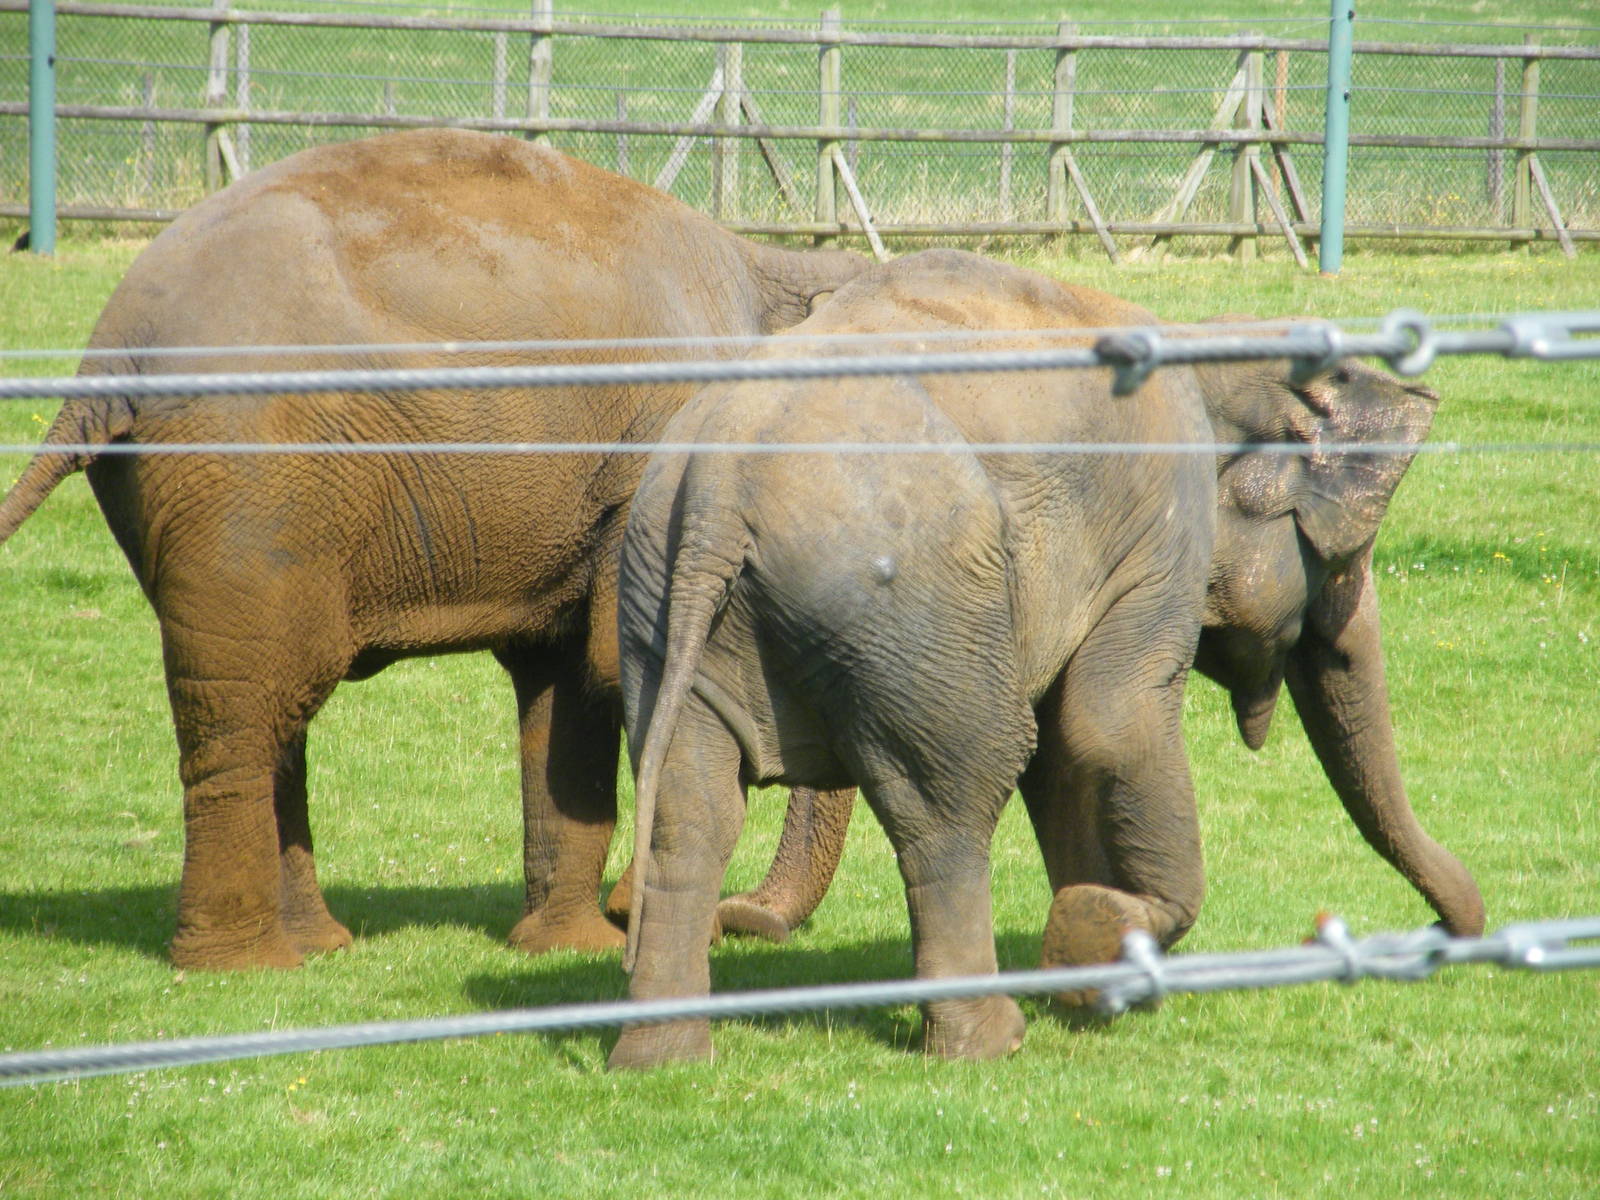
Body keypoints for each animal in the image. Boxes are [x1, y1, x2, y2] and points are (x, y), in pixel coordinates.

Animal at [0, 127, 866, 970]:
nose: (750, 920)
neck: (779, 270)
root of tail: (109, 355)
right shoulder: (651, 465)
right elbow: (624, 669)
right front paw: (631, 921)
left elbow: (569, 685)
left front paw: (569, 946)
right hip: (246, 485)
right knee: (247, 704)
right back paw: (246, 966)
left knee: (276, 700)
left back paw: (316, 947)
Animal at [608, 250, 1220, 1068]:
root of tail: (719, 488)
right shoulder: (1163, 529)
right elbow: (1110, 721)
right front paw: (1103, 939)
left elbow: (1067, 756)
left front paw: (1085, 948)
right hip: (909, 600)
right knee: (961, 788)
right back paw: (989, 1042)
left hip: (660, 590)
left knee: (689, 805)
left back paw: (660, 1058)